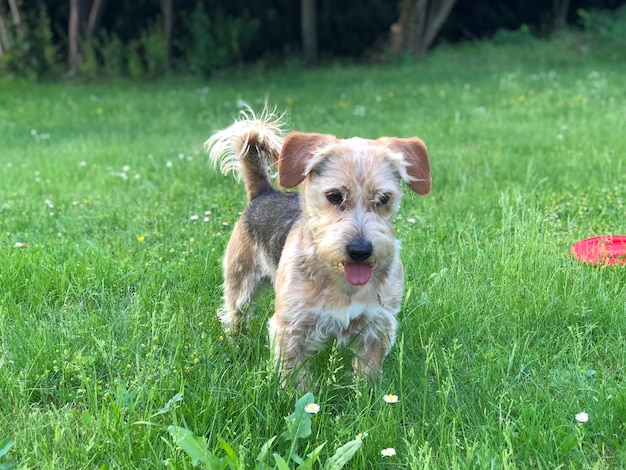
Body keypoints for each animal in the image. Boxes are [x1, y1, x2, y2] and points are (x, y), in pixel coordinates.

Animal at [205, 109, 428, 386]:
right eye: (334, 196)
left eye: (384, 198)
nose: (360, 251)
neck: (342, 283)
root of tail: (263, 193)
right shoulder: (292, 327)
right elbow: (294, 378)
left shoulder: (376, 324)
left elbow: (367, 374)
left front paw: (368, 394)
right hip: (240, 284)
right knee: (234, 317)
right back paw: (237, 345)